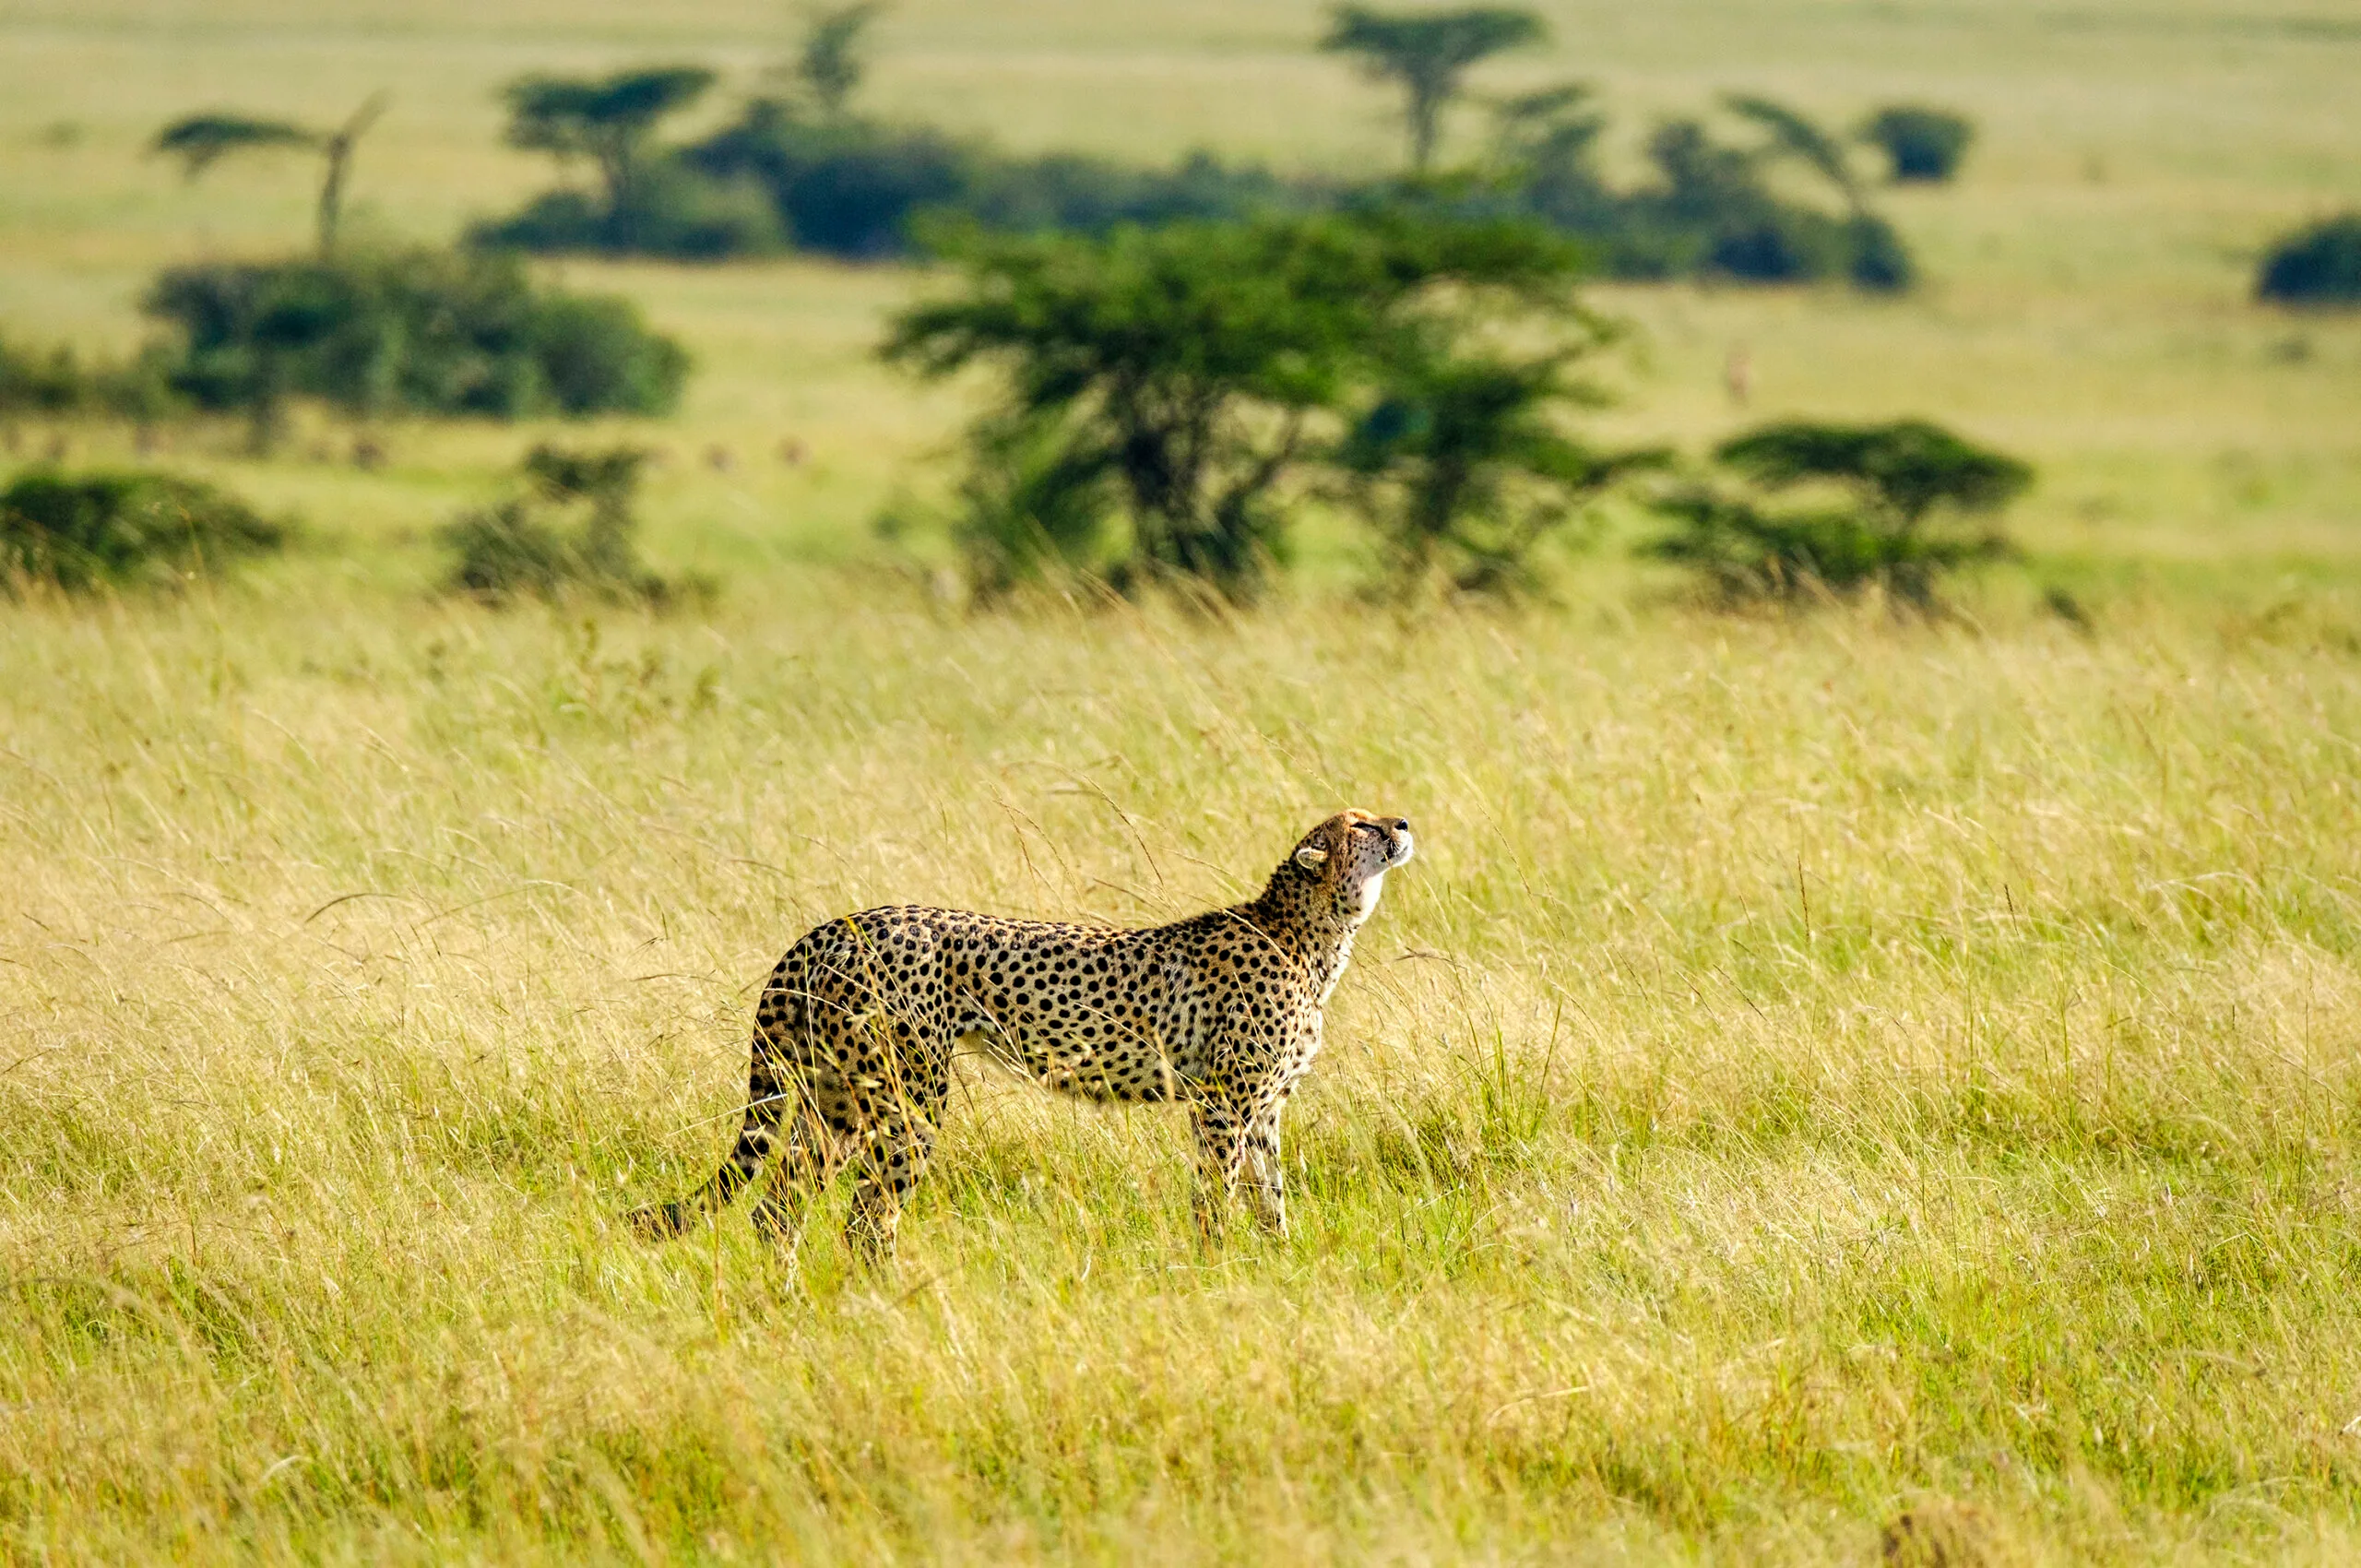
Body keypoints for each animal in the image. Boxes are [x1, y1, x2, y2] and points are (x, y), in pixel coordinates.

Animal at [630, 809, 1415, 1257]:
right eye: (1357, 825)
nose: (1403, 824)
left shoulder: (1262, 1107)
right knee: (865, 1218)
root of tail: (833, 926)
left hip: (839, 1098)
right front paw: (1215, 1268)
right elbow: (1216, 1196)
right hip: (906, 1098)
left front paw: (1279, 1265)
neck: (1311, 930)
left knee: (779, 1209)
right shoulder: (1222, 1103)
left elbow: (1270, 1194)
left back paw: (790, 1303)